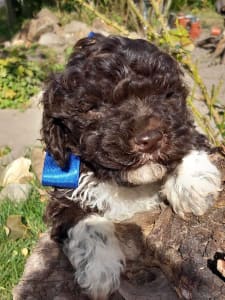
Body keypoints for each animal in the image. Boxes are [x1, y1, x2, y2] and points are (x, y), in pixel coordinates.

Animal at [41, 33, 221, 300]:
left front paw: (192, 185)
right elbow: (84, 222)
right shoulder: (64, 195)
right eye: (93, 108)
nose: (151, 139)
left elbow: (189, 137)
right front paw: (99, 271)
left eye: (164, 95)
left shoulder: (181, 128)